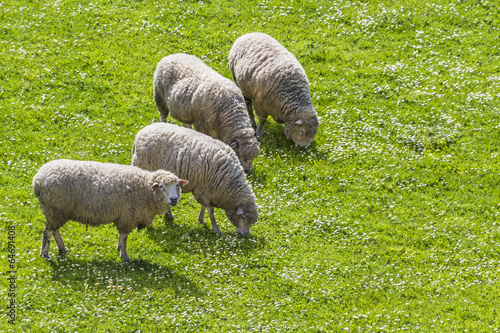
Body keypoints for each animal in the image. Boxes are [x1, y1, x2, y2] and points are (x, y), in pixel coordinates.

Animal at [32, 160, 188, 260]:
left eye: (177, 186)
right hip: (55, 210)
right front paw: (124, 256)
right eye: (161, 186)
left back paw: (62, 249)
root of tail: (38, 179)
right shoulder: (128, 217)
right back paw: (44, 254)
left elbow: (121, 236)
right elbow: (124, 237)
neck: (145, 189)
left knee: (55, 230)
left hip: (57, 212)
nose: (174, 199)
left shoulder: (124, 216)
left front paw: (118, 248)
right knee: (47, 232)